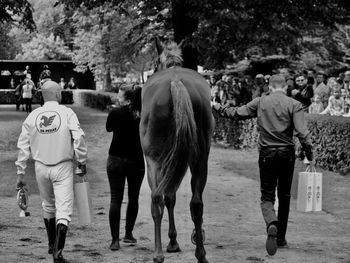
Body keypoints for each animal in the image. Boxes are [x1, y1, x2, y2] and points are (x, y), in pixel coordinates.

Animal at [139, 39, 213, 263]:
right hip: (200, 159)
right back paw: (201, 254)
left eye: (155, 62)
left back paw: (158, 253)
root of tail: (175, 81)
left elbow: (167, 198)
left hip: (154, 160)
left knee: (156, 200)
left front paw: (172, 241)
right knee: (196, 203)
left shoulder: (160, 161)